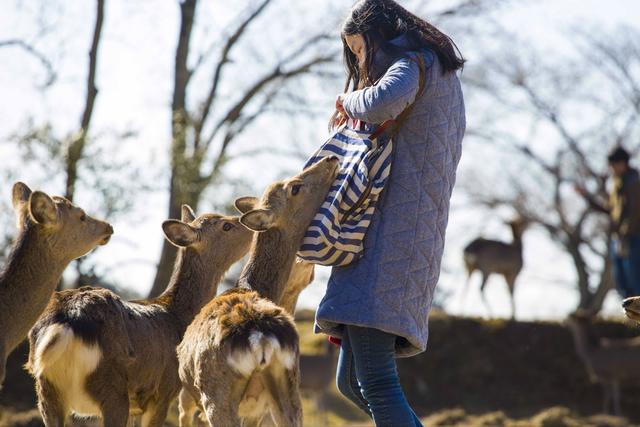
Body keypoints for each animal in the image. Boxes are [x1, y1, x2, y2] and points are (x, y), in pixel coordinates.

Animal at [26, 206, 252, 426]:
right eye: (226, 226)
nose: (249, 225)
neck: (178, 318)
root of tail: (65, 324)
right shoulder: (164, 390)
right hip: (111, 386)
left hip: (46, 392)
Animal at [175, 156, 340, 427]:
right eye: (295, 187)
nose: (331, 158)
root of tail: (261, 340)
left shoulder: (187, 396)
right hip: (287, 388)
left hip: (214, 397)